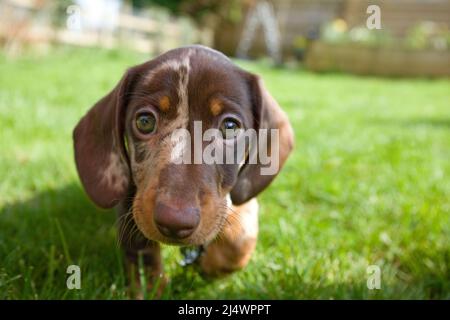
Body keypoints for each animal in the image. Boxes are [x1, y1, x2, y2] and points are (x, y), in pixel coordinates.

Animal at [72, 45, 294, 292]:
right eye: (144, 121)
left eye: (230, 127)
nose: (174, 223)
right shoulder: (130, 197)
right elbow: (142, 257)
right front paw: (153, 288)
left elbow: (238, 239)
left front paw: (209, 264)